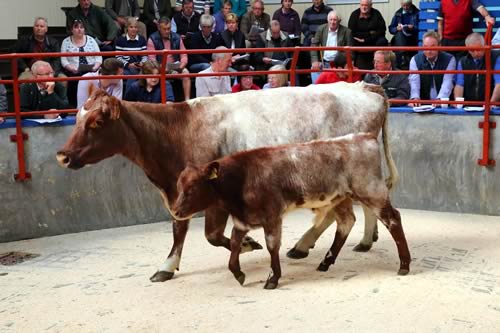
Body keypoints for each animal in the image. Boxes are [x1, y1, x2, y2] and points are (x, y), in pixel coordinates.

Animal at [172, 132, 410, 288]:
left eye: (192, 189)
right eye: (178, 187)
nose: (175, 211)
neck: (243, 177)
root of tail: (364, 136)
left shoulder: (272, 217)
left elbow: (272, 246)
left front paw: (273, 278)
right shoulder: (242, 221)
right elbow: (233, 249)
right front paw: (239, 274)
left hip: (372, 192)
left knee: (393, 220)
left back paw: (405, 264)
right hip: (342, 198)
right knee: (346, 222)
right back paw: (326, 261)